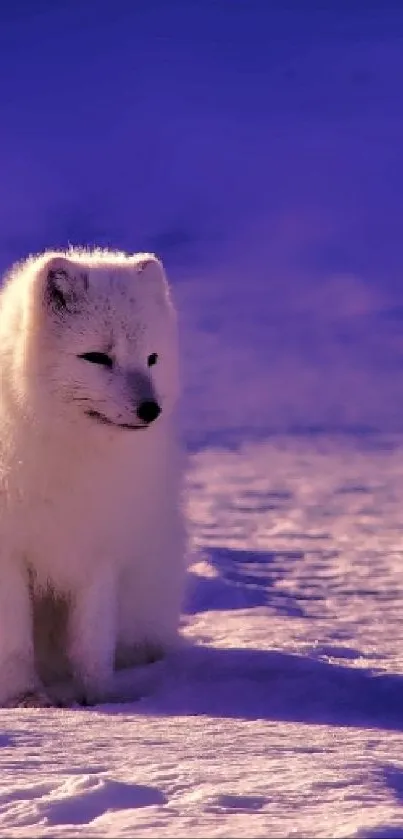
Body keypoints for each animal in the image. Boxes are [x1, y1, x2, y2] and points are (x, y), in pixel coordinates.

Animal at [0, 249, 186, 708]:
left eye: (152, 359)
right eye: (97, 357)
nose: (150, 410)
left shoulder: (98, 545)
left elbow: (92, 640)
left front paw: (99, 699)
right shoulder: (8, 553)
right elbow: (14, 640)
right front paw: (26, 699)